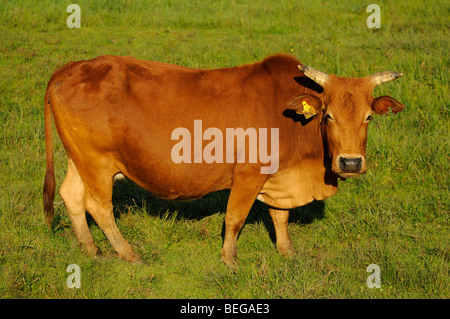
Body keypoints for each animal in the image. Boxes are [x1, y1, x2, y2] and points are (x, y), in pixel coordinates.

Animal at [44, 54, 406, 268]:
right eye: (328, 116)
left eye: (369, 117)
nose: (350, 163)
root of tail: (69, 68)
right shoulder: (249, 175)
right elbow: (234, 218)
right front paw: (230, 259)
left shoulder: (278, 176)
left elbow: (280, 216)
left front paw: (286, 250)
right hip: (97, 163)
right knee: (99, 207)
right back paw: (126, 252)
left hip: (80, 160)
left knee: (71, 196)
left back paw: (90, 249)